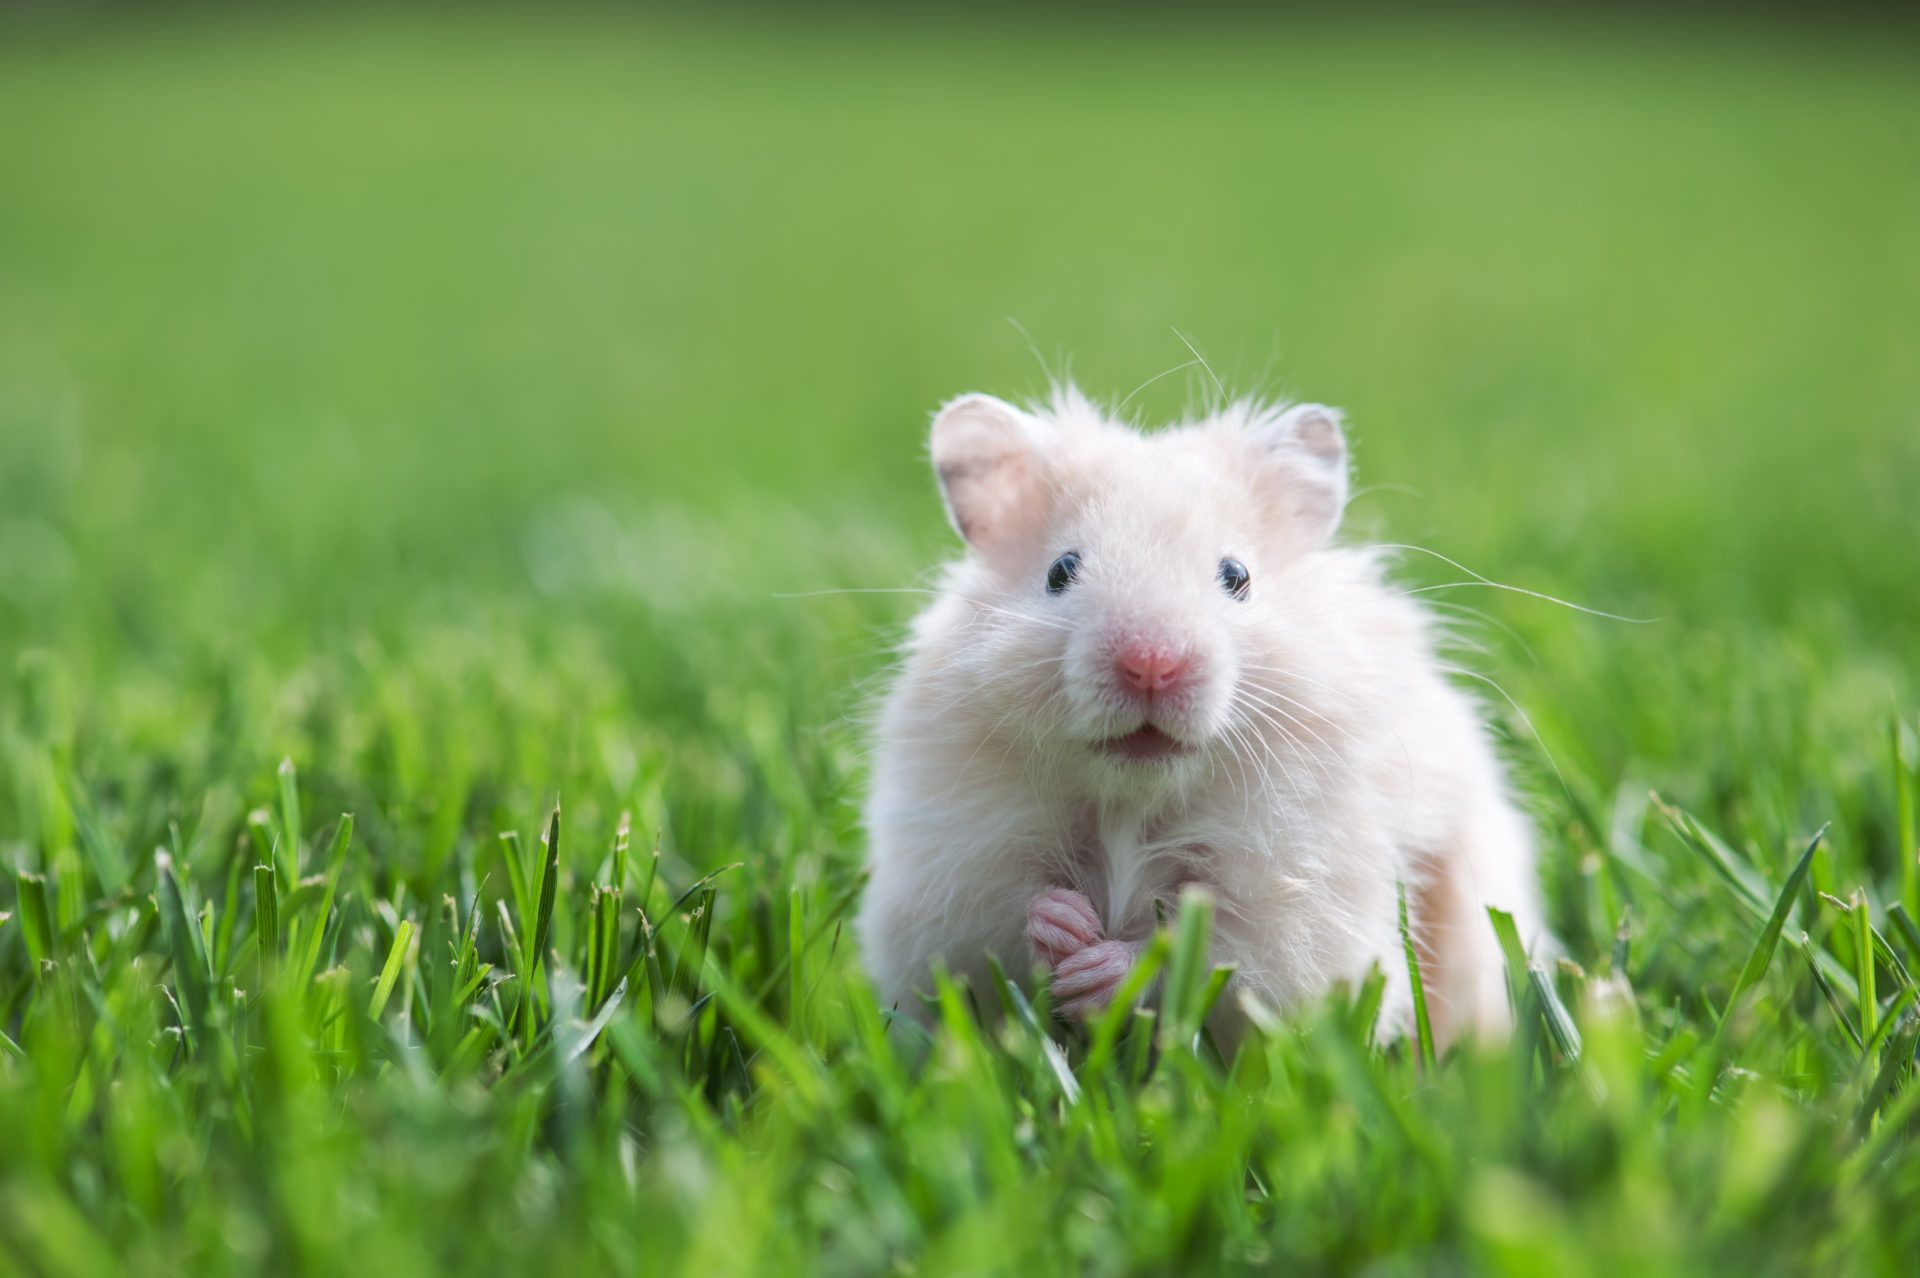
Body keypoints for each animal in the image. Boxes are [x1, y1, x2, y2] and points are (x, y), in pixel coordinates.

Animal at [856, 385, 1550, 1044]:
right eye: (1060, 571)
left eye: (1236, 575)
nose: (1151, 663)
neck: (1133, 797)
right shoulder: (950, 882)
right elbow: (1001, 924)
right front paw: (1063, 924)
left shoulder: (1297, 912)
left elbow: (1207, 957)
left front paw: (1098, 972)